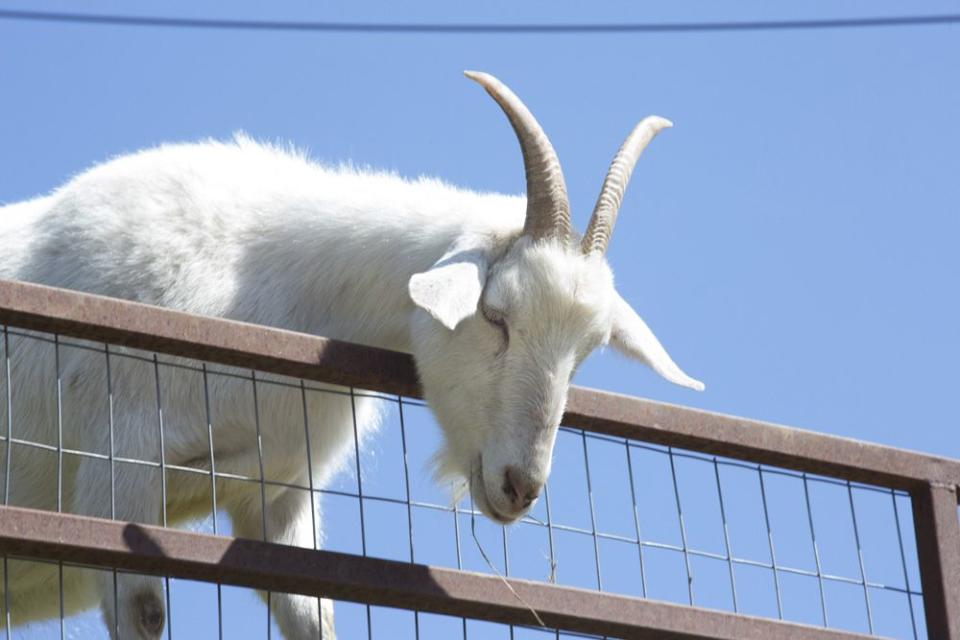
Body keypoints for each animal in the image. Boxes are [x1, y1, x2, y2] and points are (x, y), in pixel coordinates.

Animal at [0, 71, 704, 640]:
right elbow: (144, 613)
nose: (520, 487)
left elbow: (314, 618)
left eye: (587, 351)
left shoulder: (279, 495)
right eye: (495, 316)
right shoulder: (118, 470)